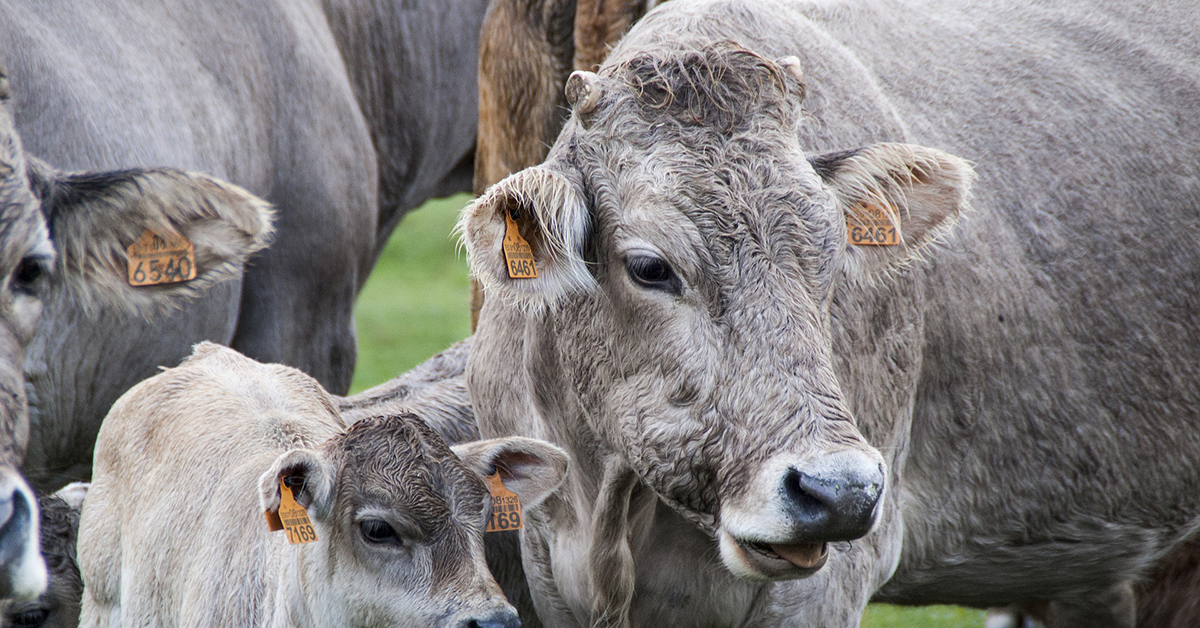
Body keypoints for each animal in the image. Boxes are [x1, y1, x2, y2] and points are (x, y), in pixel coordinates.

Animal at [458, 0, 1200, 624]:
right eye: (649, 267)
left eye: (833, 253)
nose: (839, 491)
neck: (609, 516)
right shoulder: (545, 563)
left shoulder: (829, 582)